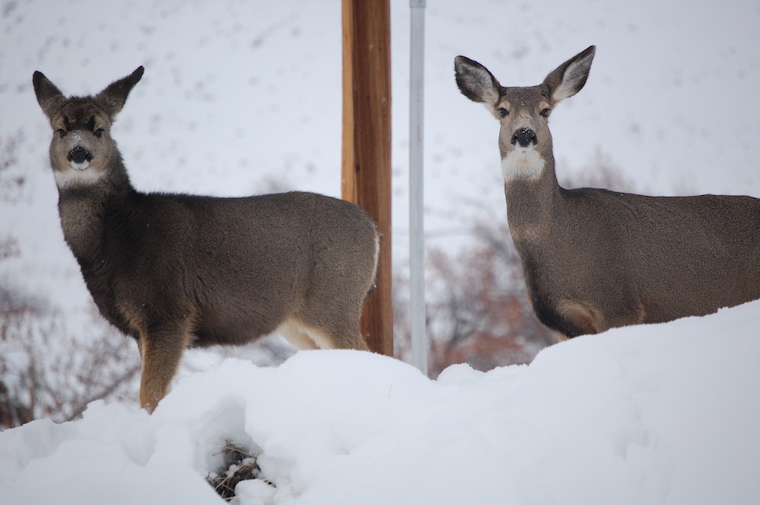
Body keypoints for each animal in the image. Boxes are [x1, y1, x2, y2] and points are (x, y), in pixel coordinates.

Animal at [33, 66, 379, 412]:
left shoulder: (168, 310)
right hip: (297, 322)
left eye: (100, 129)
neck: (117, 239)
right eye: (60, 130)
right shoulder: (142, 327)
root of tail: (374, 230)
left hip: (333, 302)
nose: (79, 152)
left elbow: (151, 393)